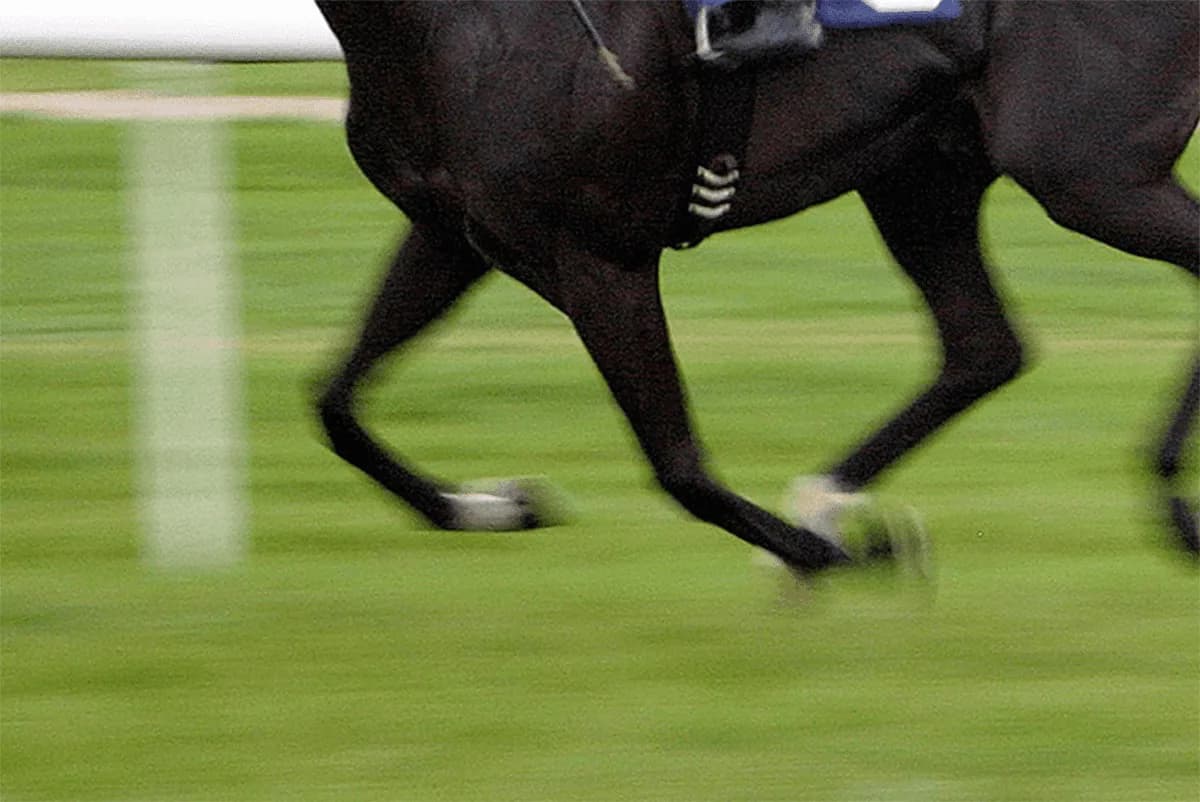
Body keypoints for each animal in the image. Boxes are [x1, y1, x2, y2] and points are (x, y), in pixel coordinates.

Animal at [312, 0, 1199, 575]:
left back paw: (1172, 501)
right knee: (984, 347)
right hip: (922, 174)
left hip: (1089, 172)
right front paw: (489, 505)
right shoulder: (451, 235)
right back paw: (826, 494)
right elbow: (336, 406)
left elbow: (680, 468)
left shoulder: (602, 255)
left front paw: (837, 558)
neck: (448, 24)